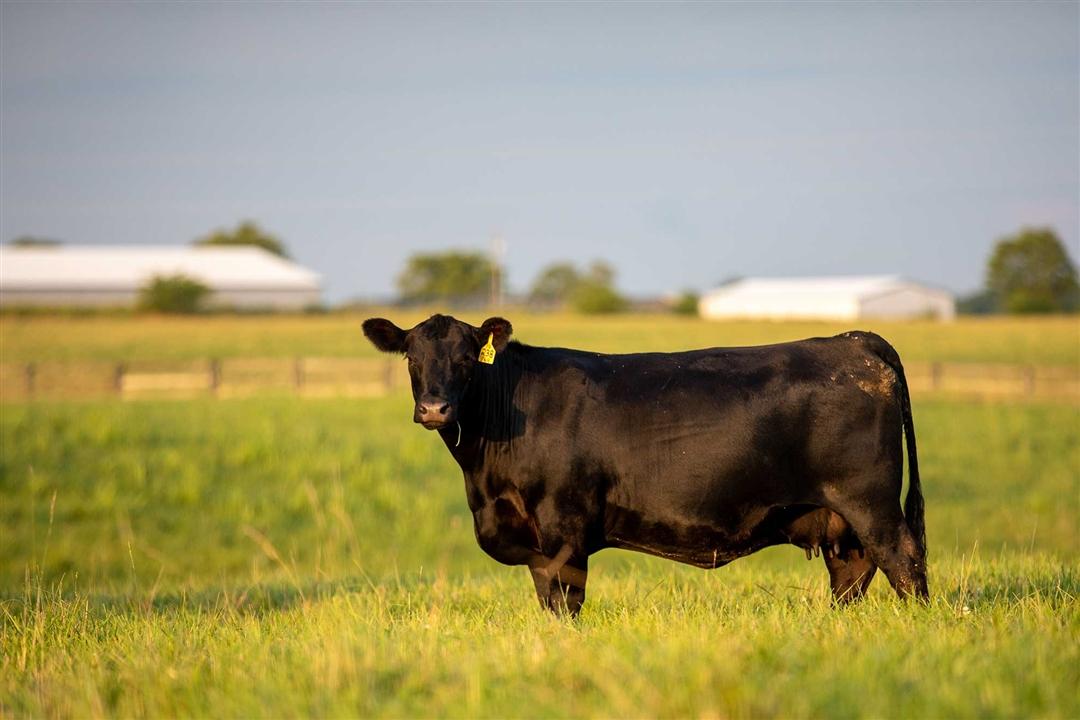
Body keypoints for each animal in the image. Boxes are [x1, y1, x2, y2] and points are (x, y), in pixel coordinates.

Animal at [362, 313, 928, 617]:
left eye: (464, 358)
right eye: (412, 357)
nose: (435, 409)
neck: (485, 478)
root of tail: (852, 341)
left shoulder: (562, 529)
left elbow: (565, 604)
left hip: (869, 501)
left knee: (904, 560)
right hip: (838, 519)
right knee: (852, 573)